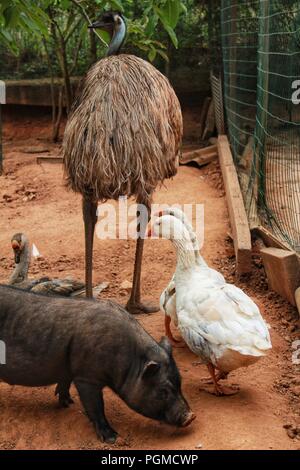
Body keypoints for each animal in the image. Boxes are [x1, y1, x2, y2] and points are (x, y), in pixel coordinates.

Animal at [0, 284, 195, 442]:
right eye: (163, 390)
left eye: (180, 383)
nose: (191, 417)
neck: (129, 360)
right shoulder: (86, 377)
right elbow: (95, 406)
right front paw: (112, 438)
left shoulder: (71, 370)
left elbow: (64, 382)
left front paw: (67, 403)